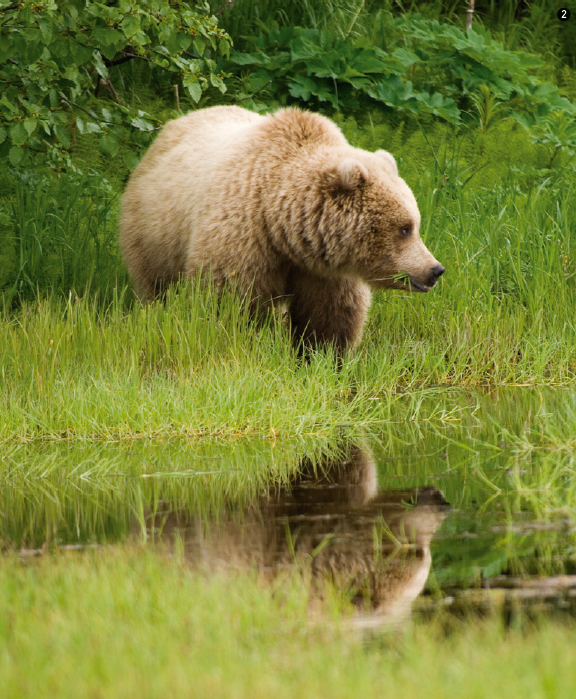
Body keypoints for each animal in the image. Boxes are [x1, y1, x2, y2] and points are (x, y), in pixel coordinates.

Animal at [118, 106, 446, 352]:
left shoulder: (325, 269)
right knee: (155, 287)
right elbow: (230, 302)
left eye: (415, 223)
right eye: (404, 228)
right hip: (155, 232)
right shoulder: (242, 237)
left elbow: (329, 317)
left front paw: (322, 357)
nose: (435, 269)